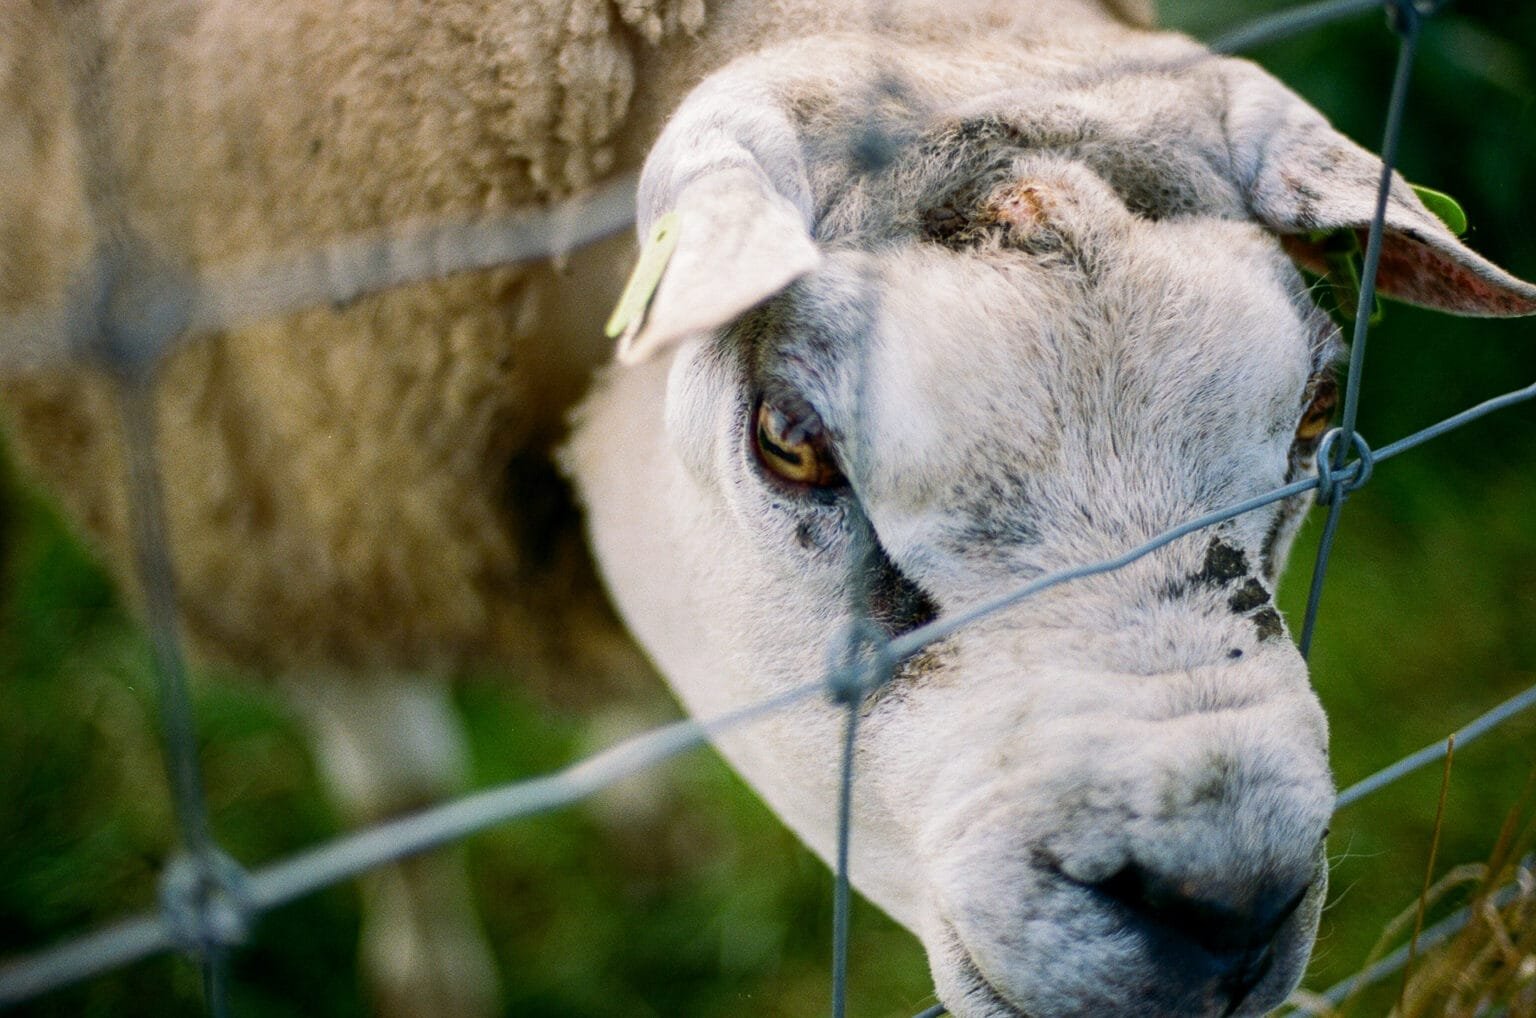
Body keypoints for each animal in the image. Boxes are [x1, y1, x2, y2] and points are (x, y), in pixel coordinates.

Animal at [3, 0, 1535, 1015]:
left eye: (1316, 414)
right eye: (791, 441)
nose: (1225, 902)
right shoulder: (283, 526)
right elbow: (405, 793)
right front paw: (435, 978)